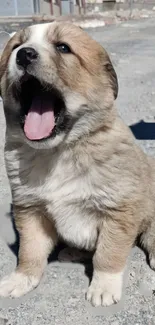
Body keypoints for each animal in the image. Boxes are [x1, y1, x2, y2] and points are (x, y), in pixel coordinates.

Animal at [0, 21, 155, 306]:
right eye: (17, 46)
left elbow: (108, 253)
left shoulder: (118, 212)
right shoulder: (30, 211)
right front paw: (21, 279)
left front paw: (104, 286)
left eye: (63, 48)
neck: (60, 151)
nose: (24, 54)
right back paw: (72, 252)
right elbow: (29, 251)